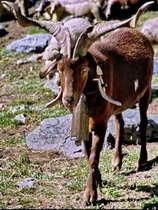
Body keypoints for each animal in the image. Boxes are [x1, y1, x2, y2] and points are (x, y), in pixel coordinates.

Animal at [2, 0, 154, 206]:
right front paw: (98, 181)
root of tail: (140, 35)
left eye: (83, 69)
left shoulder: (99, 122)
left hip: (146, 89)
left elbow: (93, 157)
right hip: (118, 102)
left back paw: (142, 160)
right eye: (60, 68)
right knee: (120, 122)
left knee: (144, 120)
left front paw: (90, 196)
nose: (68, 99)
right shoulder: (85, 120)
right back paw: (116, 162)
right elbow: (87, 154)